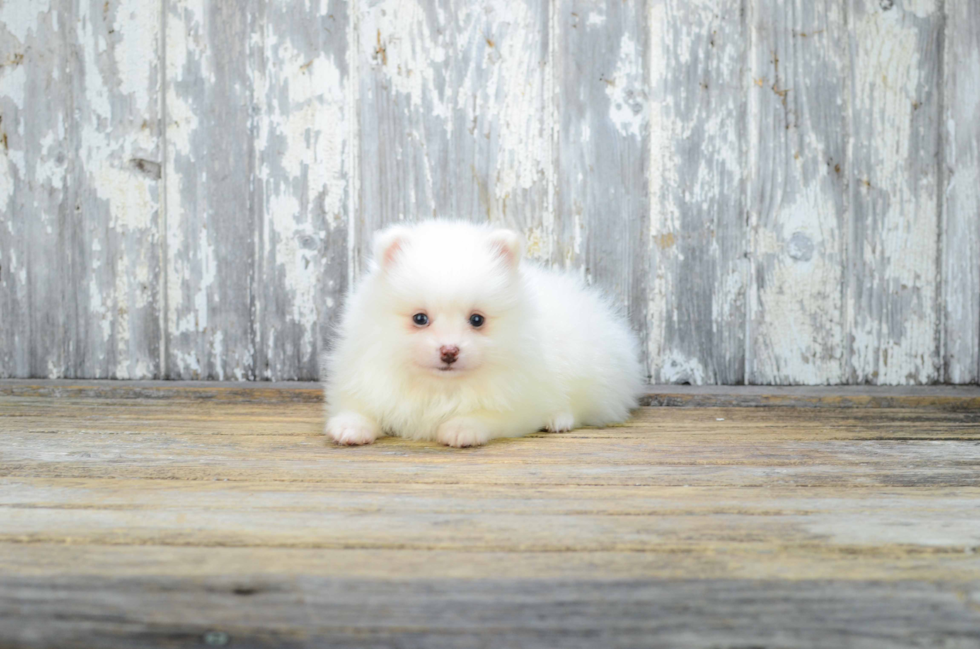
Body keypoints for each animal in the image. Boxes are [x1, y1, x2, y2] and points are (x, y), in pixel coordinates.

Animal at [324, 220, 644, 448]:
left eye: (477, 320)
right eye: (420, 318)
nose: (449, 351)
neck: (440, 387)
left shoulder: (518, 403)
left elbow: (488, 415)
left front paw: (461, 428)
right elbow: (359, 407)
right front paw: (350, 427)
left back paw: (558, 419)